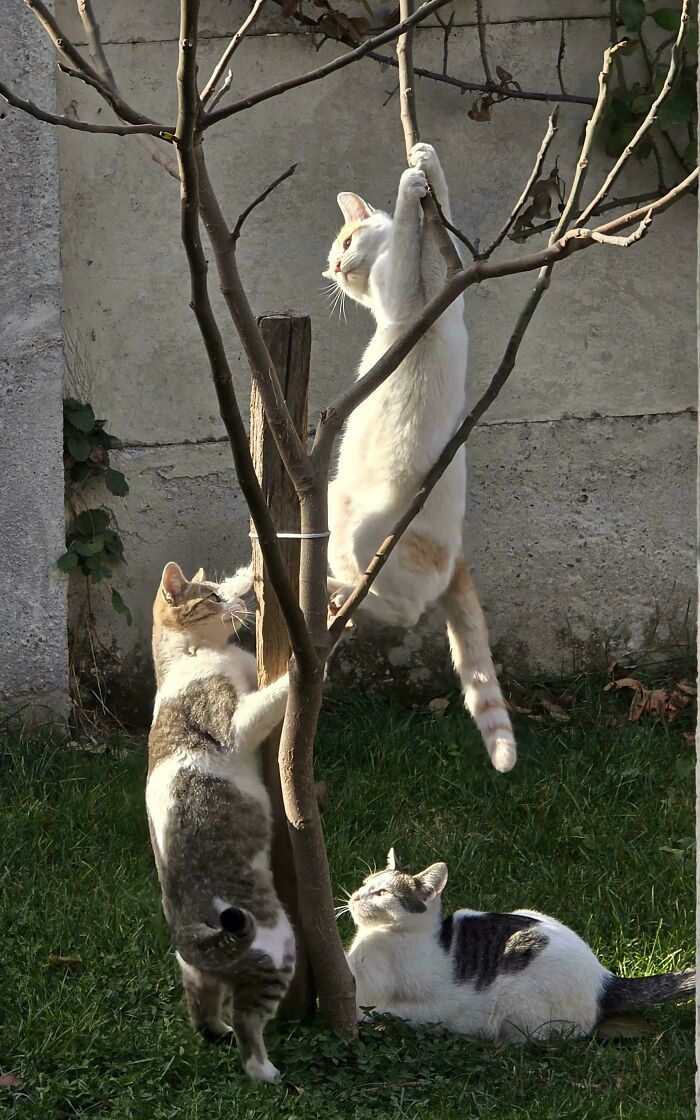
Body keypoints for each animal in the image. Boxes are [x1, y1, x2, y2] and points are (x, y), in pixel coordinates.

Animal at [145, 564, 291, 1079]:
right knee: (249, 1023)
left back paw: (216, 1030)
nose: (238, 602)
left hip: (195, 974)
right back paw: (265, 1072)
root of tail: (187, 934)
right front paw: (308, 664)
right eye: (210, 598)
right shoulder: (234, 722)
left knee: (202, 1006)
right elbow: (271, 696)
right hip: (275, 948)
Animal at [324, 140, 515, 775]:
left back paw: (340, 597)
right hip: (352, 526)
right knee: (403, 612)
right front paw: (412, 186)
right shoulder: (407, 295)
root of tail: (456, 552)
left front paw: (425, 162)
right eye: (335, 258)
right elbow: (411, 232)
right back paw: (339, 596)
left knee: (402, 609)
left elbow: (436, 215)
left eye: (345, 243)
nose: (336, 271)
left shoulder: (448, 280)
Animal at [344, 846, 694, 1039]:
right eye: (365, 883)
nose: (355, 896)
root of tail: (604, 978)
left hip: (520, 1004)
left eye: (382, 893)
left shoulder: (366, 990)